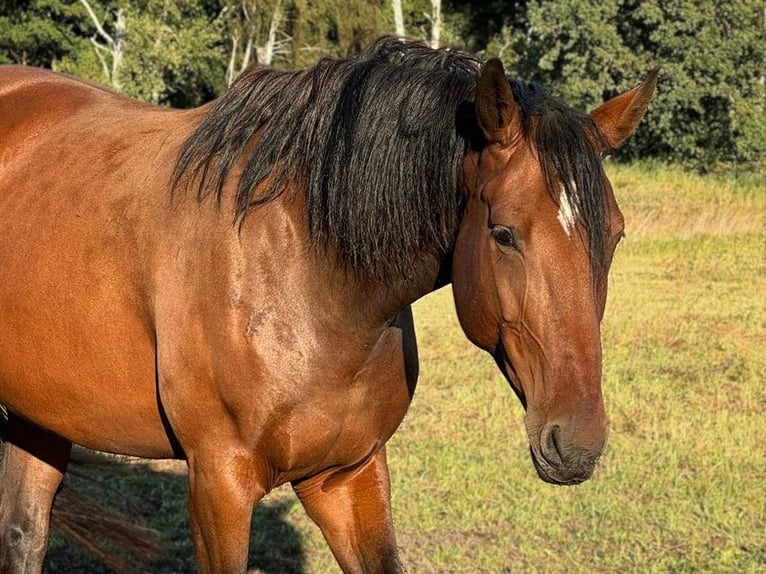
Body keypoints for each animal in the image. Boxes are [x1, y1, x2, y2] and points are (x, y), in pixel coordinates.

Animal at [0, 38, 660, 572]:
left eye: (616, 235)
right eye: (503, 234)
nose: (576, 445)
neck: (306, 276)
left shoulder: (348, 476)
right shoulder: (218, 484)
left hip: (38, 417)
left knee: (24, 534)